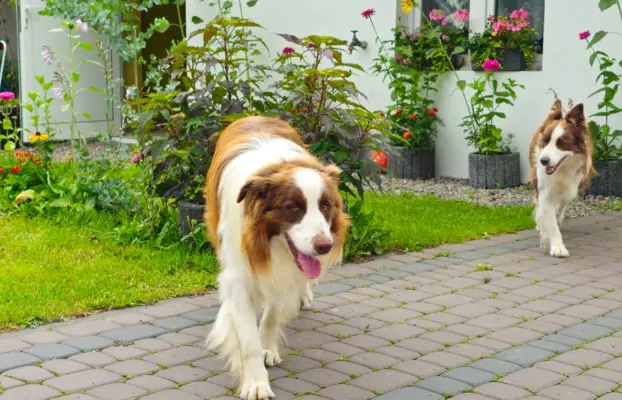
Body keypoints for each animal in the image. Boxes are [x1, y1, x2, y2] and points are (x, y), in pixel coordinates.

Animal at [205, 114, 352, 398]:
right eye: (293, 208)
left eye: (325, 205)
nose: (325, 246)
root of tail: (255, 115)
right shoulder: (240, 273)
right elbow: (247, 338)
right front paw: (256, 383)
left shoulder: (282, 273)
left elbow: (273, 313)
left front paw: (268, 347)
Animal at [528, 98, 596, 258]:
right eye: (545, 141)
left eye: (561, 143)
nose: (543, 161)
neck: (562, 169)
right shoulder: (544, 192)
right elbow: (551, 223)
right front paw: (557, 247)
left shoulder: (571, 188)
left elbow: (559, 210)